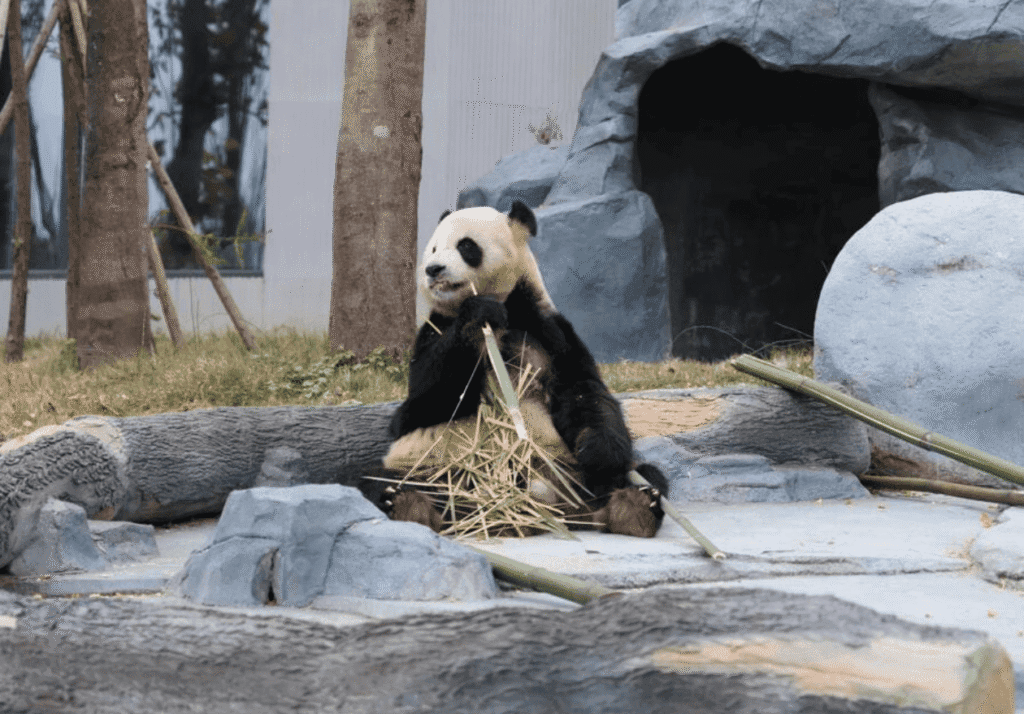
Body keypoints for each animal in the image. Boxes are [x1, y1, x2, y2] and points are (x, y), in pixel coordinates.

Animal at [376, 200, 669, 537]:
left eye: (465, 246)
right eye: (434, 248)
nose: (432, 269)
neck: (504, 307)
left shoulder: (549, 330)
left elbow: (583, 390)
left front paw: (597, 452)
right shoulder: (434, 330)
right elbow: (419, 405)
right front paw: (477, 316)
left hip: (566, 472)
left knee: (642, 475)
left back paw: (634, 507)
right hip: (431, 466)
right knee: (391, 481)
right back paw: (407, 504)